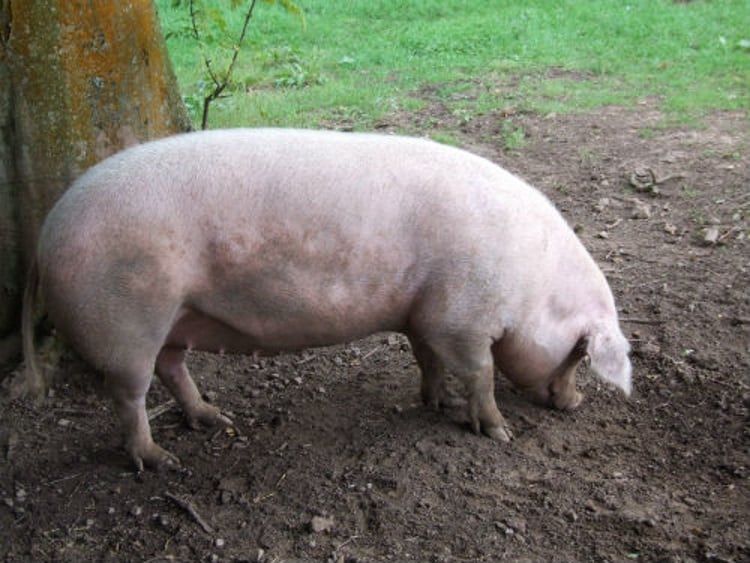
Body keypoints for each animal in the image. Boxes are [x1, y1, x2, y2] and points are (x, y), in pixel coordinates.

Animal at [23, 128, 632, 471]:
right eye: (580, 352)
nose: (577, 403)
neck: (531, 288)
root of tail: (47, 231)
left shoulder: (424, 315)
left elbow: (428, 361)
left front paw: (436, 405)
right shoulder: (462, 318)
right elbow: (479, 375)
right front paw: (500, 433)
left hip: (175, 318)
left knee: (172, 369)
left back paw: (215, 419)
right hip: (125, 322)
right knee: (129, 396)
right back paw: (163, 463)